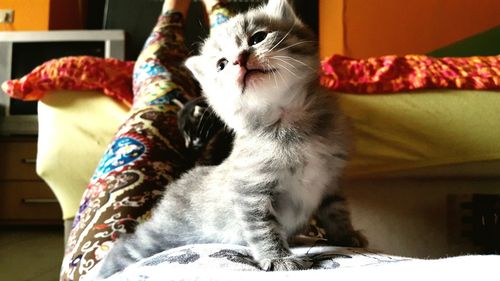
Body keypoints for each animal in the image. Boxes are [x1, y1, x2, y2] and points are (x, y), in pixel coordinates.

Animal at [91, 0, 364, 276]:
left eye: (258, 38)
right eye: (221, 64)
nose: (239, 59)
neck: (289, 122)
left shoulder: (330, 180)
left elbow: (336, 210)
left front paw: (348, 237)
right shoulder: (251, 192)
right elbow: (264, 229)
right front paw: (278, 258)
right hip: (163, 234)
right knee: (127, 245)